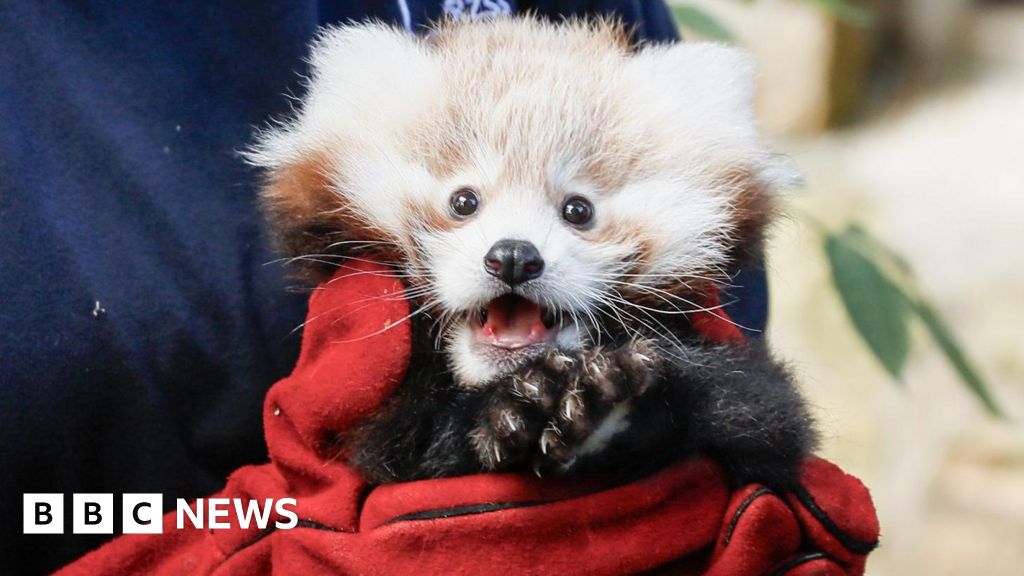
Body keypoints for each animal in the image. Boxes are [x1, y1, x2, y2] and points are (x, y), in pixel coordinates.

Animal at [245, 16, 815, 483]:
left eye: (578, 209)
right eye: (463, 201)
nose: (514, 257)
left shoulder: (755, 400)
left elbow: (760, 412)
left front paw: (607, 407)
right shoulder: (377, 417)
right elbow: (405, 445)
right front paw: (515, 412)